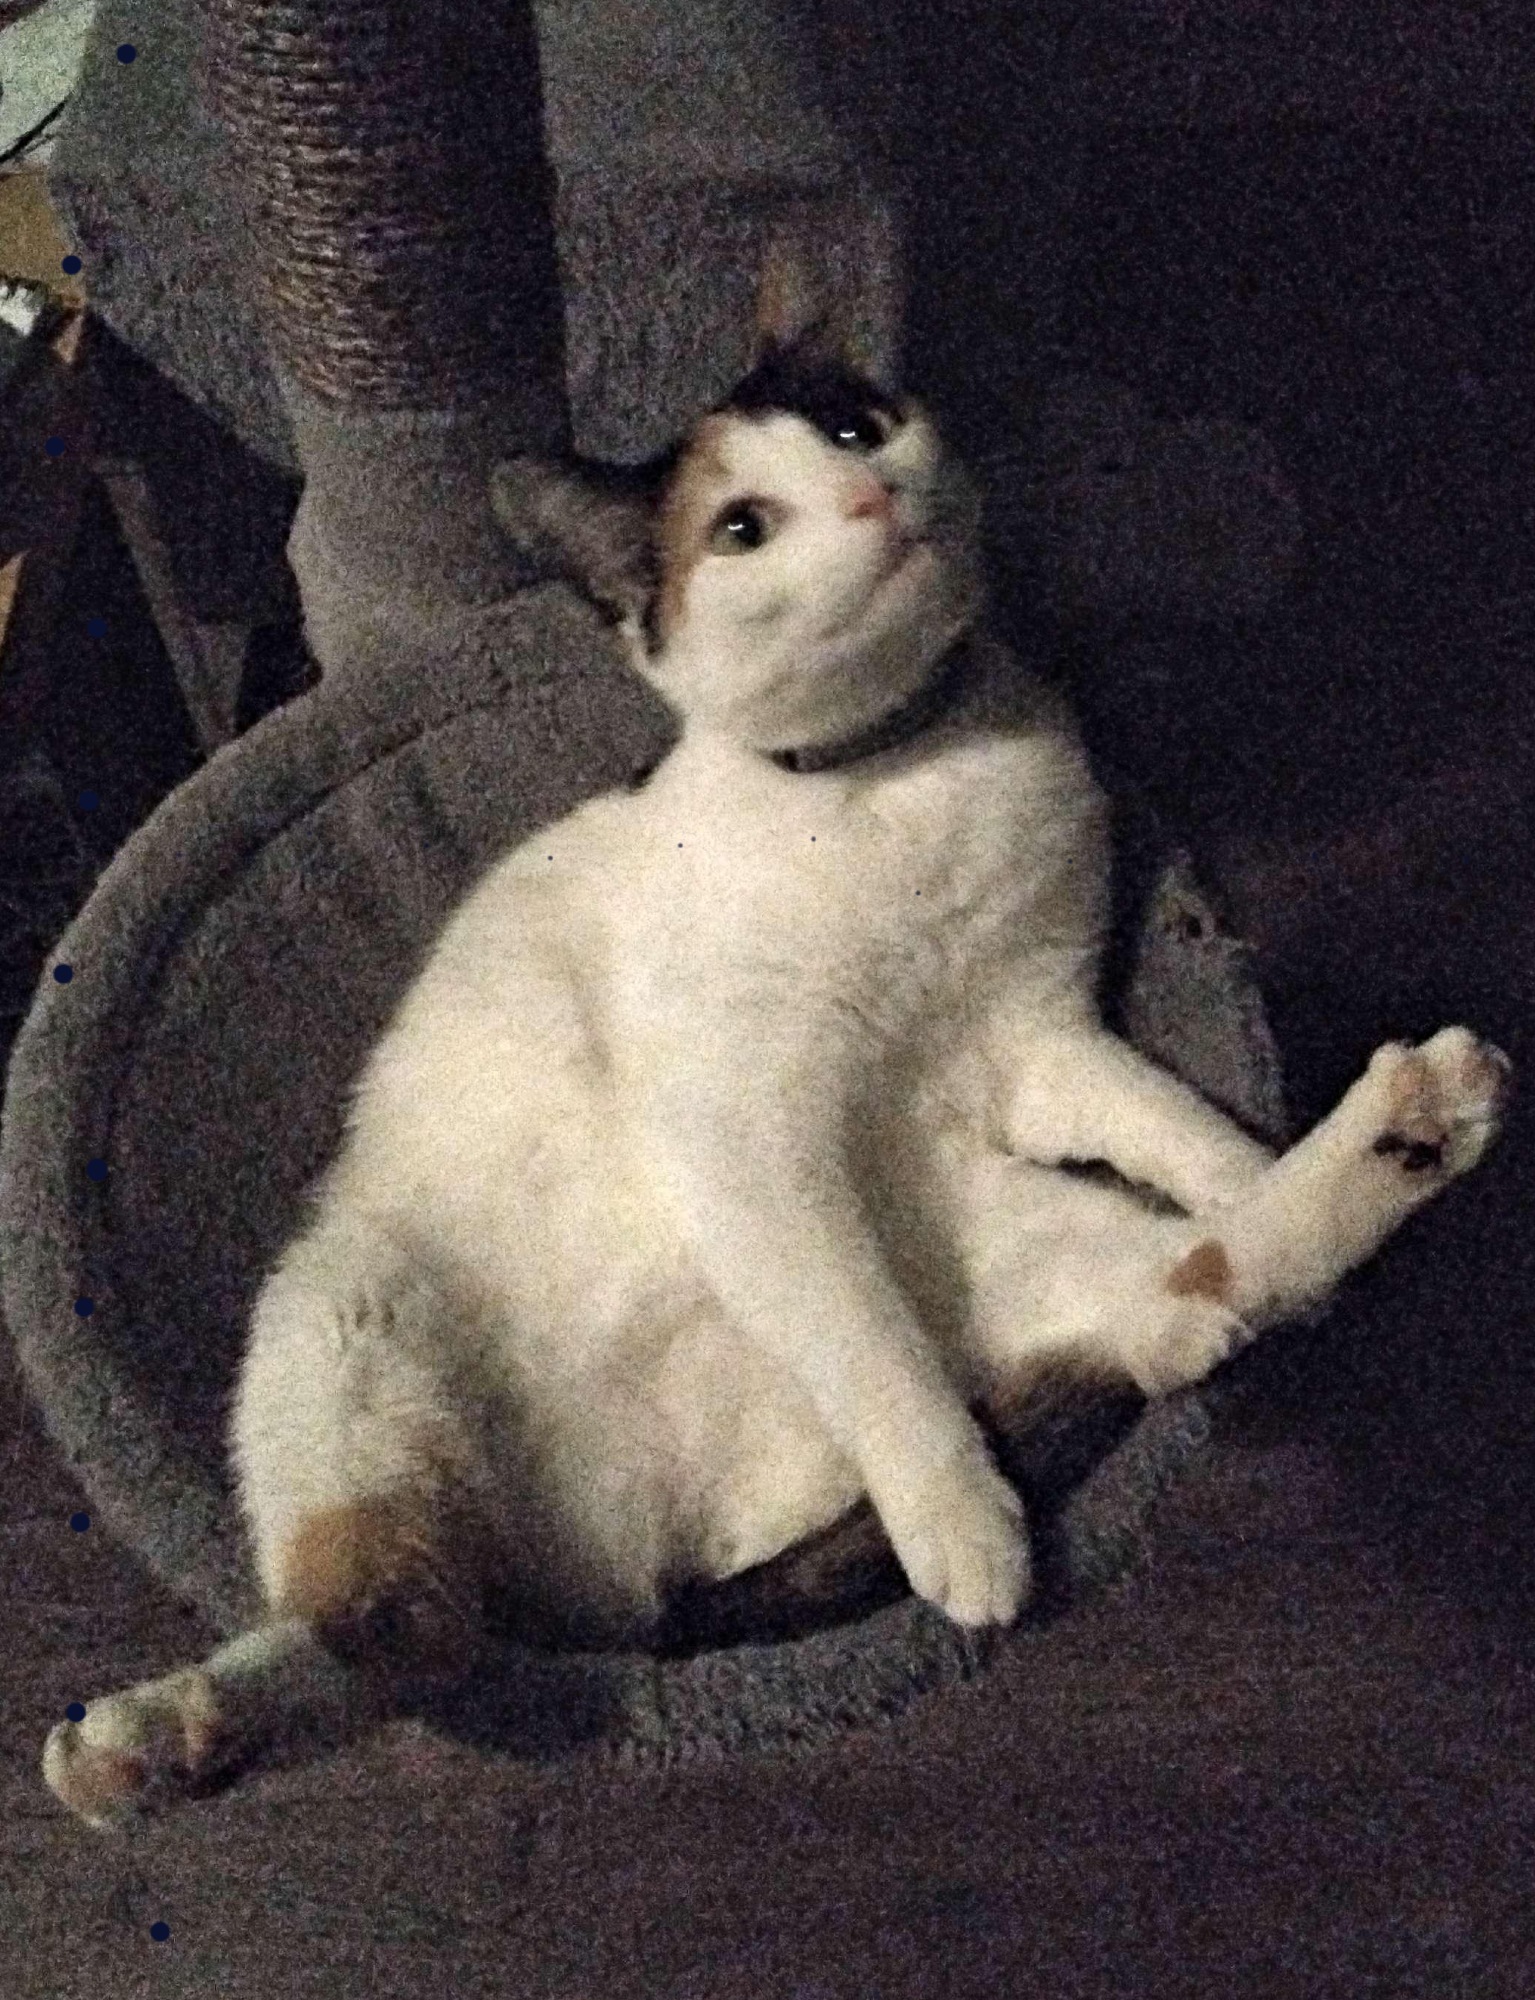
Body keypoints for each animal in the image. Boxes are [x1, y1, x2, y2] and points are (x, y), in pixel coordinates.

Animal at [42, 320, 1510, 1829]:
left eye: (858, 431)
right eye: (743, 527)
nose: (868, 498)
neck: (901, 771)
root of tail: (640, 1563)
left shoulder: (1035, 1040)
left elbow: (1169, 1122)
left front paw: (1245, 1152)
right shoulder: (745, 1130)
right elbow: (868, 1344)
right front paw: (956, 1522)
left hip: (1021, 1240)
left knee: (1199, 1284)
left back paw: (1405, 1129)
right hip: (344, 1327)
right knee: (400, 1631)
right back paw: (158, 1738)